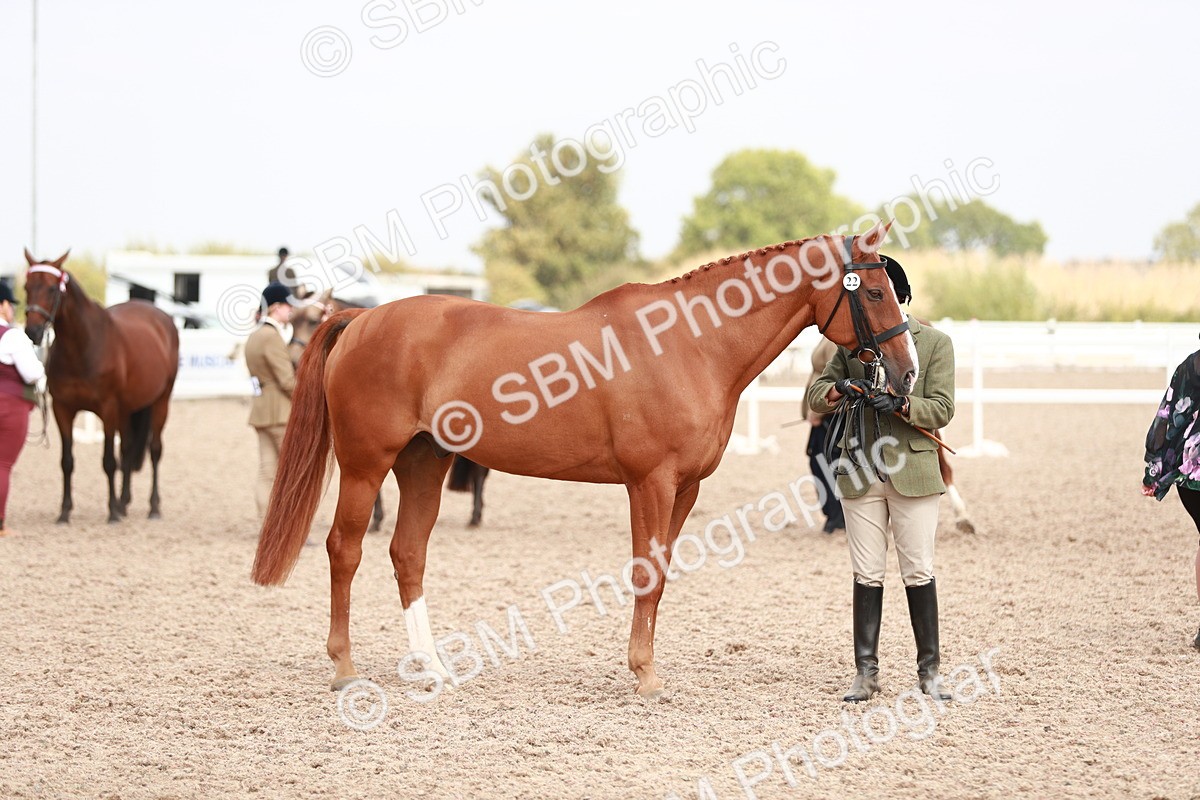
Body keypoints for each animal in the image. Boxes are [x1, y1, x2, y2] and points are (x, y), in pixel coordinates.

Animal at [22, 250, 180, 523]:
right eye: (27, 287)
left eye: (52, 289)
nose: (33, 331)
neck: (83, 346)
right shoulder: (62, 409)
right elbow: (67, 461)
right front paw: (65, 511)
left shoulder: (107, 409)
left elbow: (108, 461)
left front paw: (112, 512)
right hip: (127, 409)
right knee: (127, 449)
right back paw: (124, 502)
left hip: (160, 401)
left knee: (155, 450)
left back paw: (153, 507)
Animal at [252, 222, 919, 697]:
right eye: (876, 291)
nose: (907, 374)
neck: (688, 344)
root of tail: (362, 317)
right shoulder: (649, 482)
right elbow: (646, 573)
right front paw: (644, 675)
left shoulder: (686, 489)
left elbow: (662, 573)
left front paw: (645, 668)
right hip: (366, 464)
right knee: (345, 549)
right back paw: (344, 668)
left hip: (424, 462)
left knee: (407, 554)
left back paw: (433, 667)